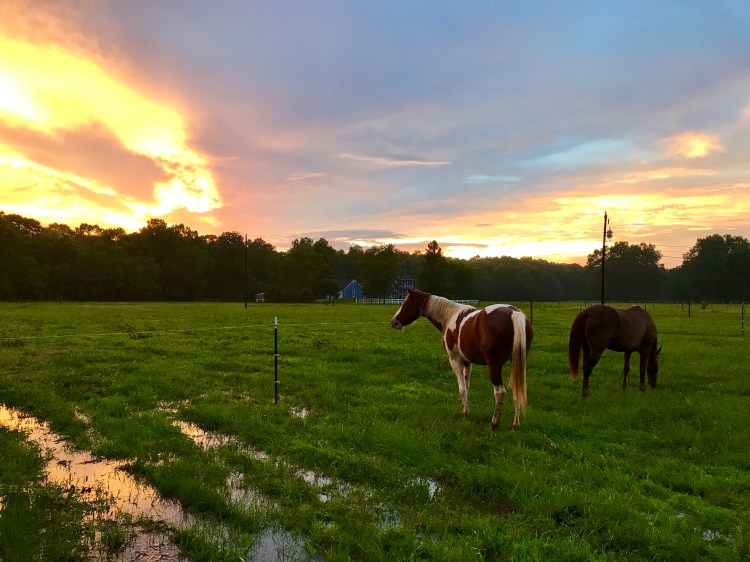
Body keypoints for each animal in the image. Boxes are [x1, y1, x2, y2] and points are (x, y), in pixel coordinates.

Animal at [391, 288, 533, 430]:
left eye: (406, 303)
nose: (393, 322)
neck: (449, 316)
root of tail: (514, 313)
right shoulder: (467, 363)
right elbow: (467, 385)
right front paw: (466, 409)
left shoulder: (455, 361)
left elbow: (462, 387)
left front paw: (465, 414)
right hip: (517, 364)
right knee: (517, 389)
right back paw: (515, 423)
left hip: (494, 366)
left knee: (499, 392)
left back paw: (494, 423)